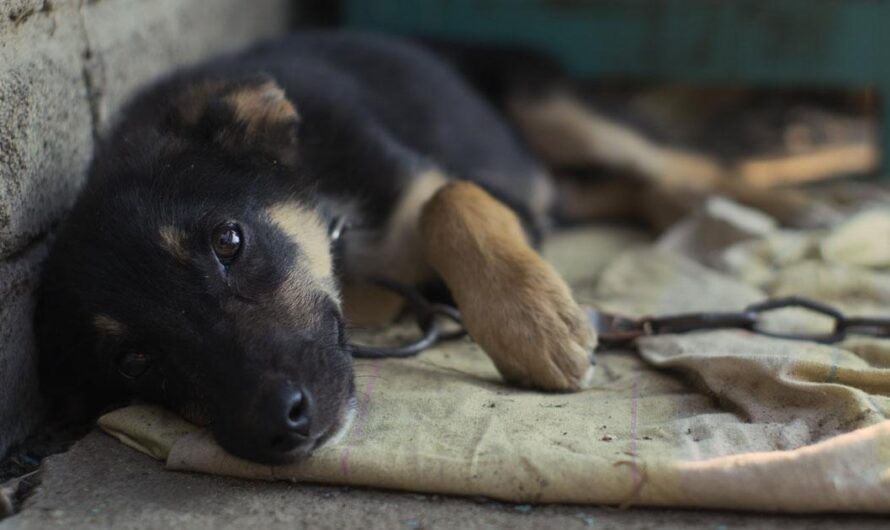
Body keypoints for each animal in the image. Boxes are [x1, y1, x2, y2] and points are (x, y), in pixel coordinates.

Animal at [33, 32, 812, 462]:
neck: (343, 238)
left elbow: (449, 200)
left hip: (550, 108)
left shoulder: (458, 185)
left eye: (229, 241)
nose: (277, 428)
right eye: (134, 361)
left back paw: (763, 205)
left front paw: (535, 326)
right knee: (618, 189)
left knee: (671, 162)